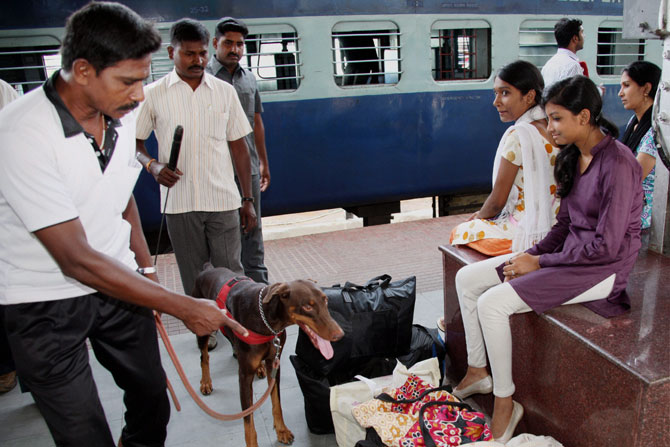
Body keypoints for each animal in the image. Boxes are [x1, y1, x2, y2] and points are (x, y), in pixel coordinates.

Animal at [192, 268, 344, 447]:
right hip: (202, 325)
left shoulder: (274, 362)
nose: (339, 334)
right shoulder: (244, 376)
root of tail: (207, 269)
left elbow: (276, 401)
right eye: (307, 306)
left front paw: (282, 430)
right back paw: (206, 382)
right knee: (204, 356)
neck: (266, 318)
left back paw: (258, 367)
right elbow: (248, 419)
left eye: (325, 300)